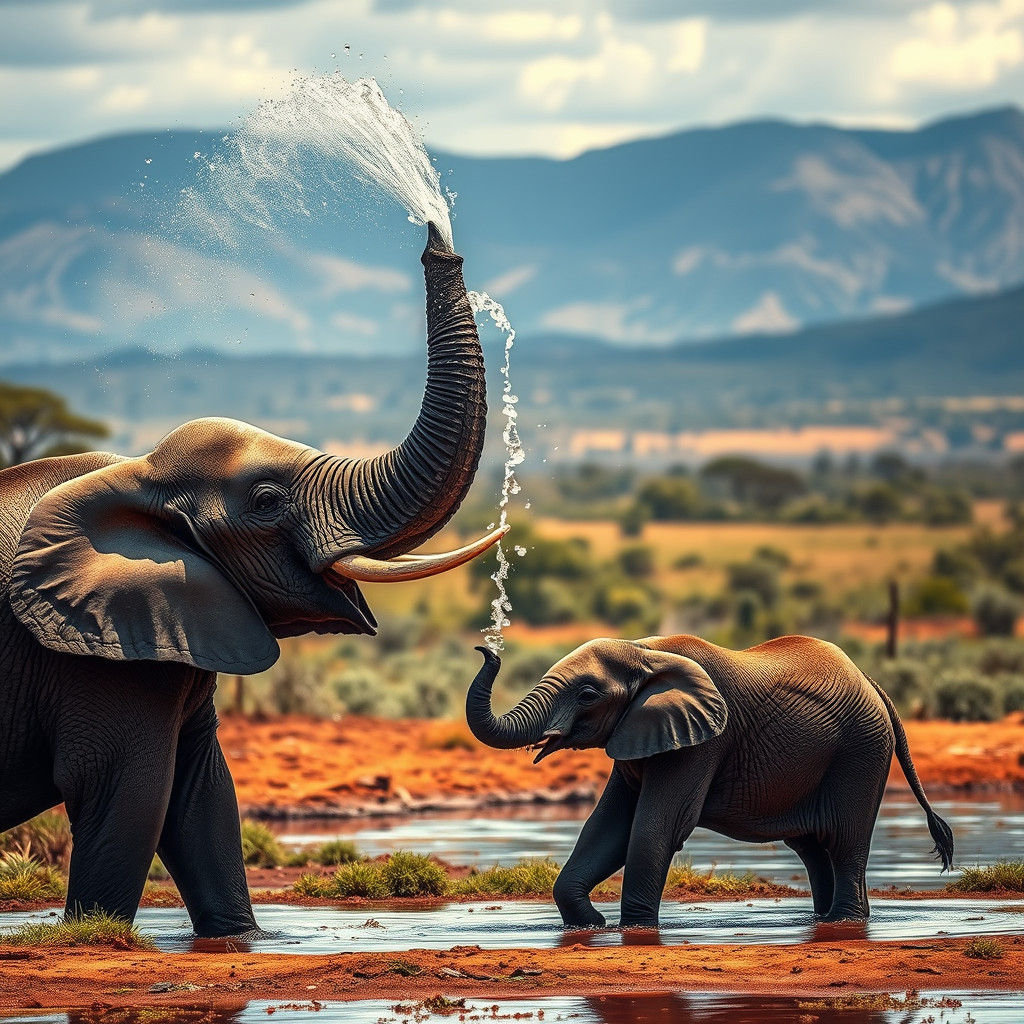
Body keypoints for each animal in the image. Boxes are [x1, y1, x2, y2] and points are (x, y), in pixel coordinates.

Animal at [0, 223, 501, 937]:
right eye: (265, 501)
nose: (437, 236)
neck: (138, 476)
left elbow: (204, 795)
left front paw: (241, 938)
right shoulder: (94, 659)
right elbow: (128, 792)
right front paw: (96, 934)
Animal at [466, 634, 954, 928]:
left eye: (587, 695)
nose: (486, 649)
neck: (646, 652)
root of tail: (872, 682)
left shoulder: (701, 743)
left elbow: (654, 828)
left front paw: (634, 929)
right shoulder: (639, 734)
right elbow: (606, 829)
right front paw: (592, 925)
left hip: (861, 752)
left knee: (845, 844)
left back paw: (845, 923)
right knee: (815, 850)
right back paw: (828, 922)